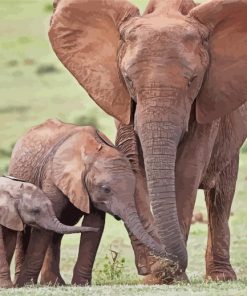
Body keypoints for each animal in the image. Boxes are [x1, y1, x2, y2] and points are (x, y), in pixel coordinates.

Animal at [8, 119, 166, 286]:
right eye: (105, 189)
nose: (145, 270)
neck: (92, 151)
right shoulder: (53, 177)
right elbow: (44, 225)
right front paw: (25, 284)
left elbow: (95, 224)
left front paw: (81, 284)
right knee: (26, 232)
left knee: (58, 231)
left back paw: (54, 282)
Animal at [48, 0, 247, 280]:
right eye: (128, 79)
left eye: (192, 81)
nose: (147, 268)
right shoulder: (120, 99)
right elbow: (133, 165)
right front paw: (157, 276)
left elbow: (187, 170)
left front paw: (170, 275)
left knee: (220, 196)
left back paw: (220, 276)